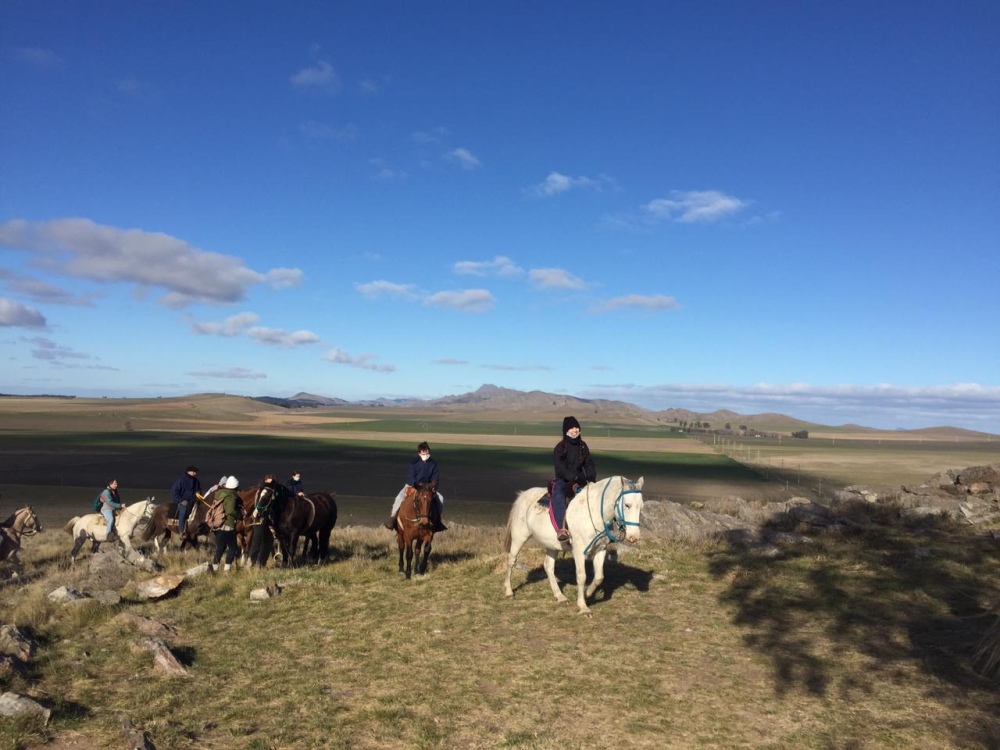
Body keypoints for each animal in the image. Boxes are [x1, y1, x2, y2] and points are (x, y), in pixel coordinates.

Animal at [504, 476, 644, 616]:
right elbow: (581, 577)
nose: (634, 536)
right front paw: (583, 607)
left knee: (548, 566)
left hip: (552, 546)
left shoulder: (600, 549)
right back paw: (509, 591)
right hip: (519, 538)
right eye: (627, 505)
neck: (594, 512)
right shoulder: (579, 551)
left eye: (640, 507)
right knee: (511, 561)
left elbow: (599, 577)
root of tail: (523, 495)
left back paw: (560, 596)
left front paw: (588, 594)